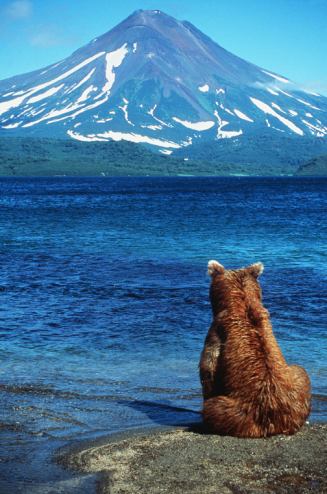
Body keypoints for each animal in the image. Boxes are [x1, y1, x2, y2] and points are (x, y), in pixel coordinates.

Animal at [200, 260, 312, 438]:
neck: (242, 300)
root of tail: (275, 424)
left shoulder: (217, 331)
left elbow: (208, 369)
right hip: (297, 387)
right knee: (301, 371)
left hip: (239, 412)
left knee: (214, 408)